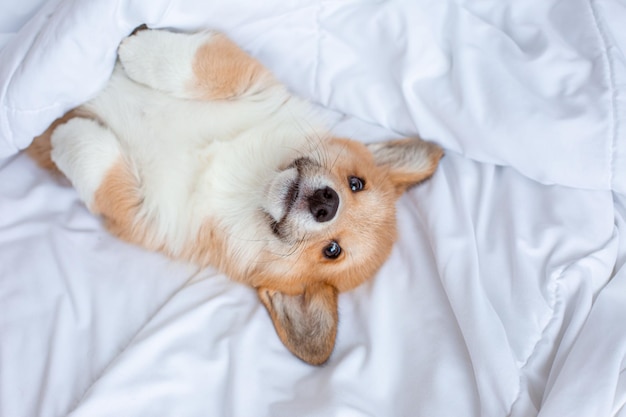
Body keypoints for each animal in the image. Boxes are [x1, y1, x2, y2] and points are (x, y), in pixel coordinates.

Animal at [26, 28, 442, 364]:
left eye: (333, 251)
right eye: (356, 184)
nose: (327, 204)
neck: (248, 180)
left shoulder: (143, 211)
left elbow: (97, 165)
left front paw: (64, 135)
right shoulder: (249, 82)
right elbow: (196, 66)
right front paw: (138, 48)